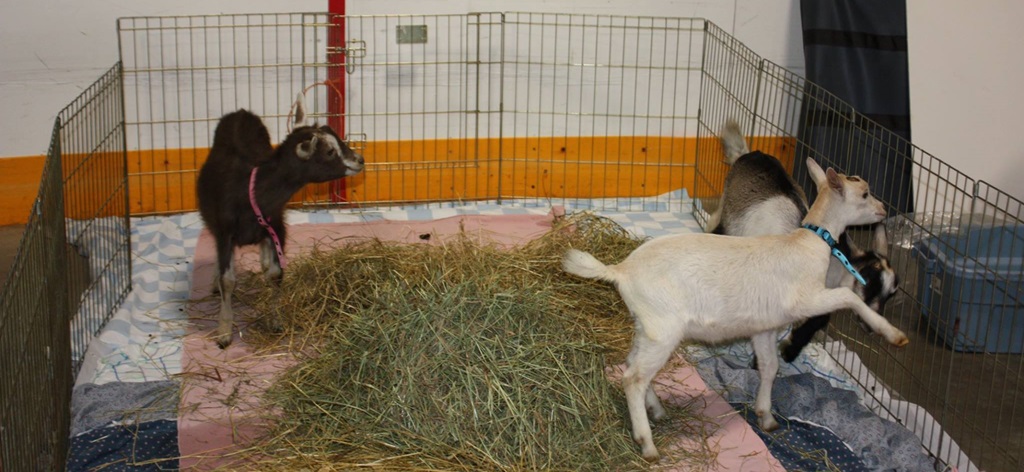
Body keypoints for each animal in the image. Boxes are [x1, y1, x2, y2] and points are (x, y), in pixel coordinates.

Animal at [196, 94, 365, 348]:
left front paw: (276, 320)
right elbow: (227, 280)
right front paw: (224, 331)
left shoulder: (277, 226)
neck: (251, 192)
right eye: (328, 152)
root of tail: (240, 112)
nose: (359, 160)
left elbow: (276, 274)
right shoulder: (226, 232)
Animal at [562, 157, 909, 461]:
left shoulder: (765, 326)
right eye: (864, 193)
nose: (883, 210)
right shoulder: (807, 298)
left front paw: (766, 415)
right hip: (664, 329)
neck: (808, 244)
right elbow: (848, 297)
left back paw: (657, 410)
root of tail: (620, 271)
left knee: (631, 365)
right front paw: (892, 333)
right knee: (633, 378)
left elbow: (770, 367)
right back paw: (646, 444)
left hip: (646, 326)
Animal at [708, 119, 899, 364]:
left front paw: (790, 350)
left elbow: (817, 319)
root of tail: (750, 154)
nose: (884, 209)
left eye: (891, 294)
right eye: (871, 281)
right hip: (730, 219)